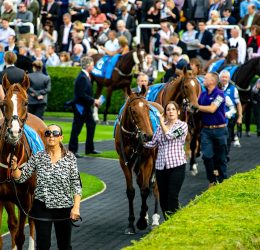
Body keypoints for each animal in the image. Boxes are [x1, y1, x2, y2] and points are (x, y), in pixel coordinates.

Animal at [0, 74, 46, 250]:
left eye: (26, 103)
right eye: (3, 104)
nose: (13, 131)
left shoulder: (26, 198)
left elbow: (21, 236)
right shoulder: (2, 196)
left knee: (32, 221)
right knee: (13, 224)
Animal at [115, 87, 164, 234]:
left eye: (147, 109)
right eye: (133, 110)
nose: (148, 135)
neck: (132, 136)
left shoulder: (147, 160)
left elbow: (145, 189)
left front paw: (141, 221)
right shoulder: (124, 161)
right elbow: (131, 191)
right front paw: (131, 223)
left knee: (155, 186)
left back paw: (154, 218)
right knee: (141, 180)